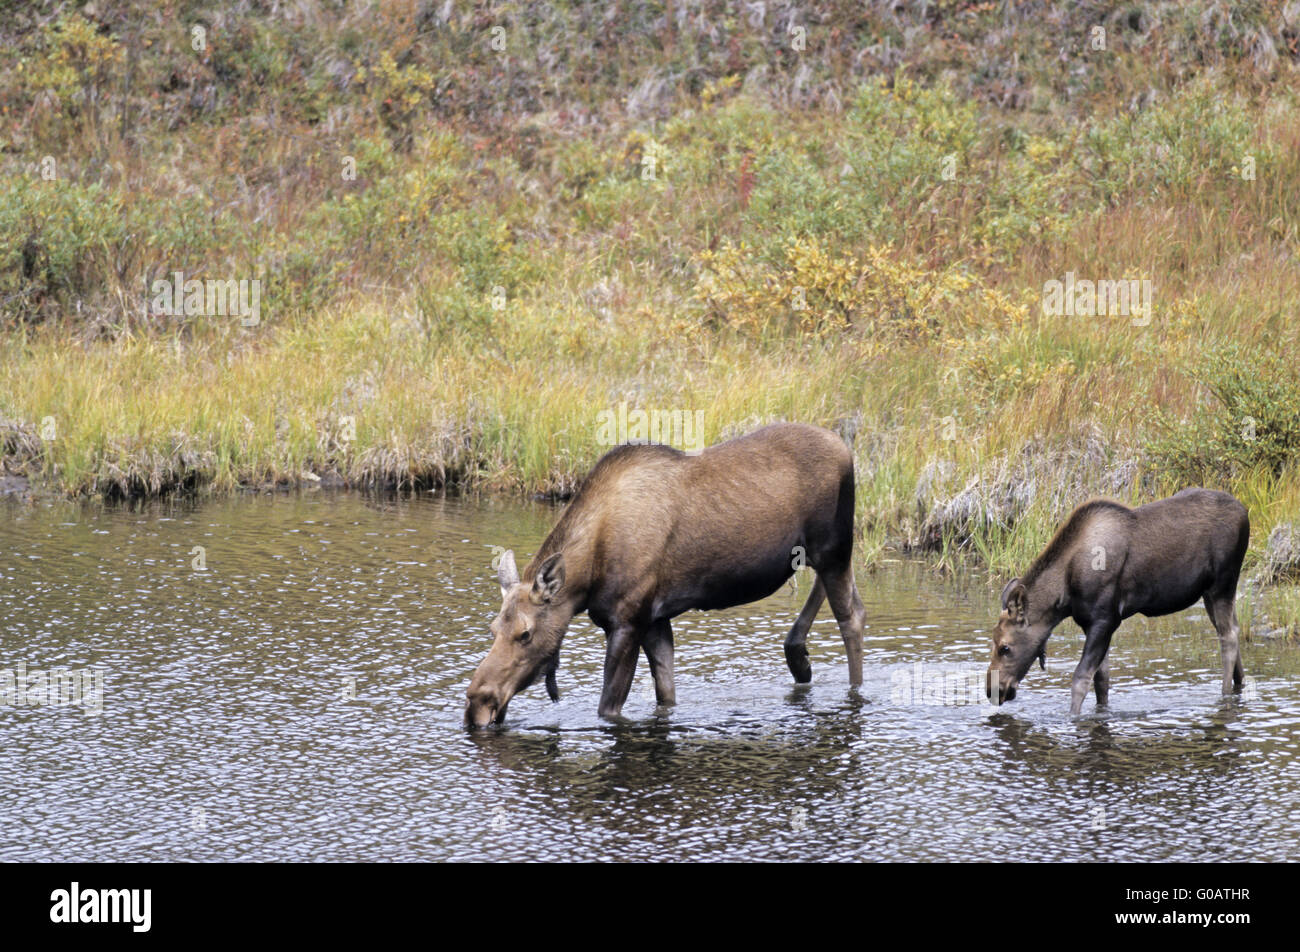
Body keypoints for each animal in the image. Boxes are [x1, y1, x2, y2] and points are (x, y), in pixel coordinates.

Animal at [462, 423, 868, 728]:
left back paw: (850, 689)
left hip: (834, 545)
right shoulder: (656, 620)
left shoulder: (628, 621)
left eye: (525, 634)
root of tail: (848, 451)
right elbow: (666, 694)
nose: (477, 703)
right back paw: (797, 655)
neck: (588, 576)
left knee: (851, 615)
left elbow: (608, 707)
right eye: (493, 629)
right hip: (821, 550)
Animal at [982, 491, 1248, 712]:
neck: (1065, 595)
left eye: (1005, 647)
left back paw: (1225, 695)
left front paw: (1072, 718)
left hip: (1222, 584)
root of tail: (1246, 514)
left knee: (1228, 637)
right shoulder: (1092, 624)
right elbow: (1102, 682)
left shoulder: (1106, 620)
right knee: (1233, 628)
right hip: (1209, 592)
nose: (992, 690)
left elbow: (1081, 679)